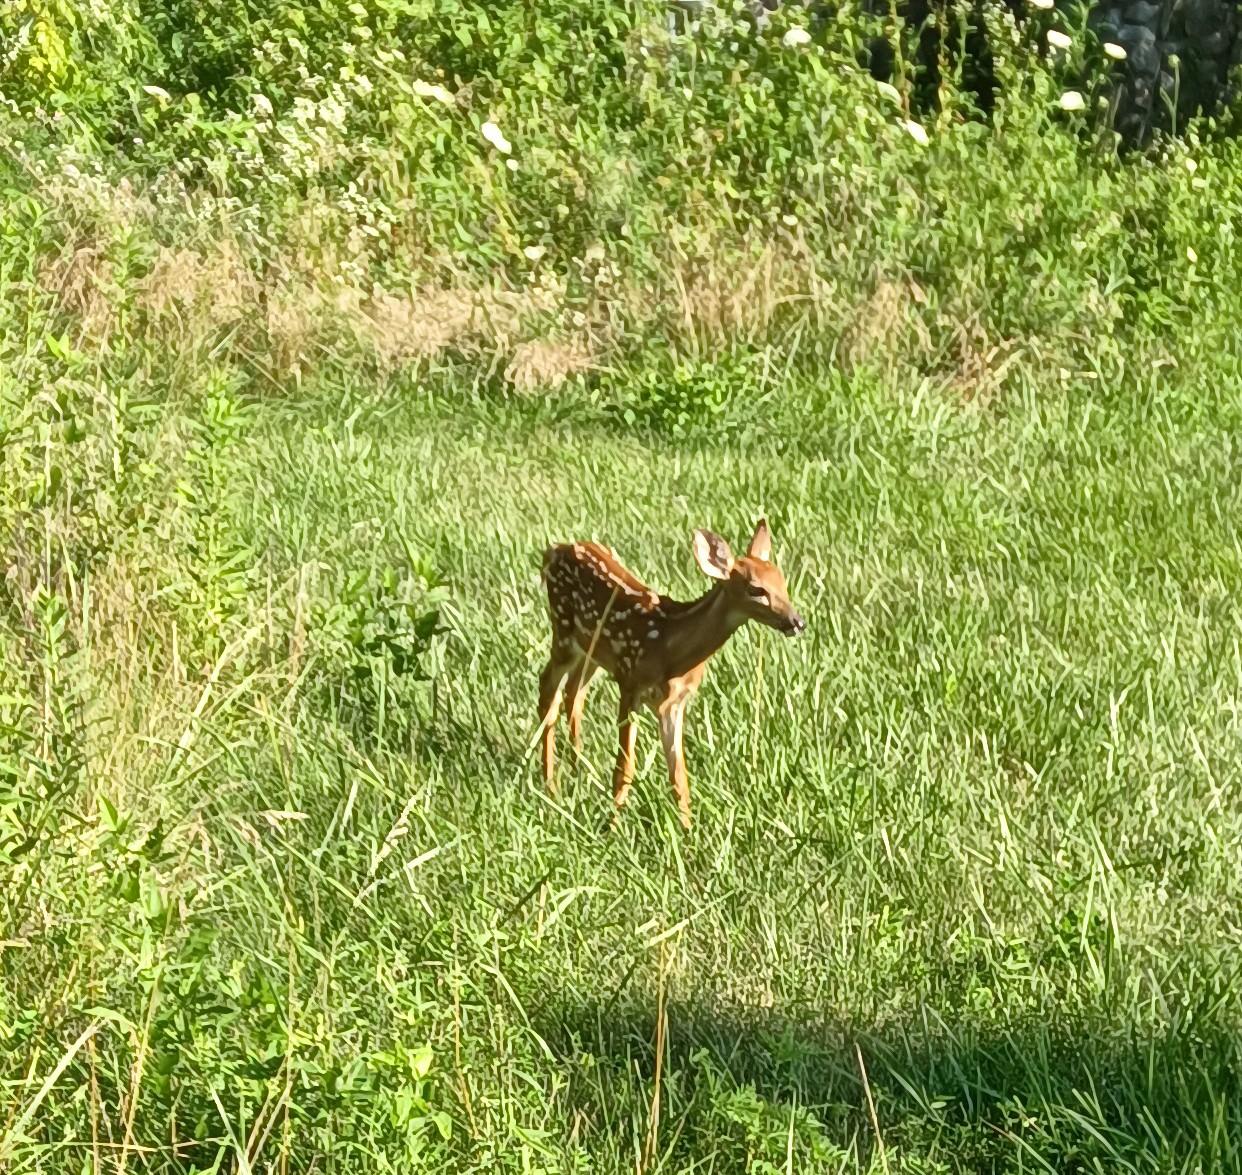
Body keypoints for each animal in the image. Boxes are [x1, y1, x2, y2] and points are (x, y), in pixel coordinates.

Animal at [537, 519, 804, 829]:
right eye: (756, 589)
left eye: (782, 582)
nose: (797, 622)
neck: (671, 646)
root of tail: (554, 550)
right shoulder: (630, 682)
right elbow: (624, 768)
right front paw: (612, 828)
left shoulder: (674, 704)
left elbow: (679, 776)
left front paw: (687, 831)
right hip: (563, 631)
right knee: (549, 688)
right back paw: (551, 786)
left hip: (591, 651)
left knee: (574, 693)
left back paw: (578, 770)